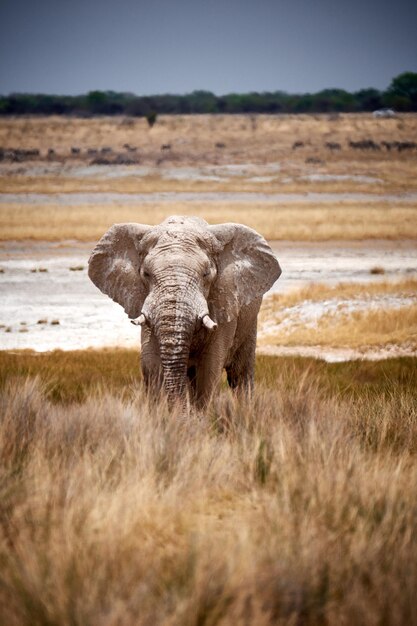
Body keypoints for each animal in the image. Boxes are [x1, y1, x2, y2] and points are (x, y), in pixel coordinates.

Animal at [89, 216, 282, 410]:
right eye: (146, 274)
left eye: (206, 274)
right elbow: (150, 364)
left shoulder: (224, 301)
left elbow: (209, 367)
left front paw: (199, 417)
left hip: (249, 322)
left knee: (240, 374)